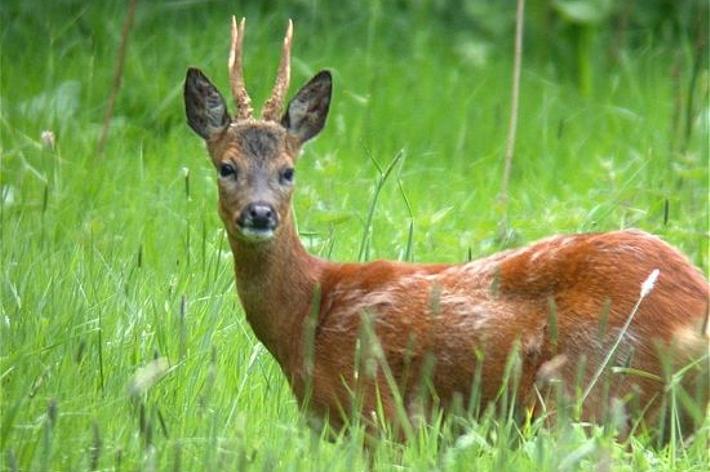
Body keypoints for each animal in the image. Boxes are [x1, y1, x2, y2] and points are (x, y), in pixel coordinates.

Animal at [186, 17, 708, 438]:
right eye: (226, 167)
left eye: (288, 171)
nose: (259, 213)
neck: (307, 315)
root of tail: (695, 307)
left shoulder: (375, 412)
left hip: (588, 393)